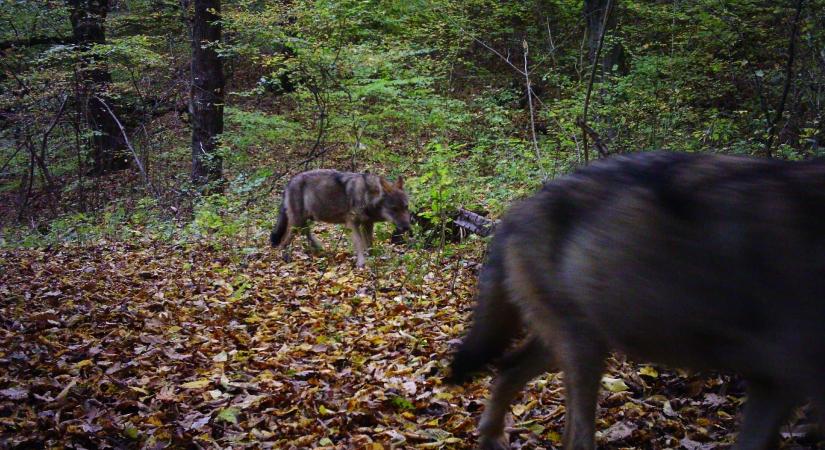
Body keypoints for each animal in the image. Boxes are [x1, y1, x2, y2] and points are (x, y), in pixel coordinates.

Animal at [270, 169, 412, 268]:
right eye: (394, 209)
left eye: (406, 207)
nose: (407, 227)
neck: (367, 195)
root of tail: (288, 183)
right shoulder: (352, 223)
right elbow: (359, 244)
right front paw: (361, 264)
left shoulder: (367, 224)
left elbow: (369, 245)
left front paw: (373, 259)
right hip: (297, 222)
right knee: (284, 241)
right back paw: (286, 258)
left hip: (307, 219)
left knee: (306, 231)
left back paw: (319, 248)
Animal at [448, 152, 824, 450]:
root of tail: (515, 214)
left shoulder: (774, 384)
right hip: (584, 349)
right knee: (575, 436)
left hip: (571, 345)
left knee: (509, 370)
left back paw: (492, 438)